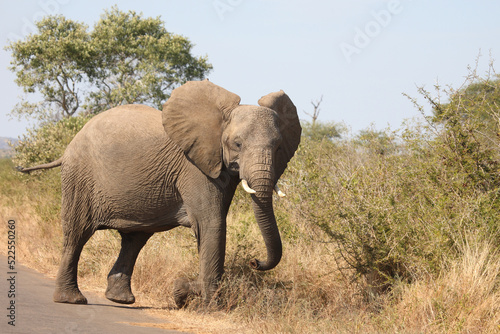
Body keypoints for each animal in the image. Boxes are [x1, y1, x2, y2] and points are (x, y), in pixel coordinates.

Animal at [18, 79, 300, 306]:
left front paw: (185, 291)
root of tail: (68, 147)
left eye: (278, 147)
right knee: (77, 234)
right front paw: (208, 304)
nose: (255, 262)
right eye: (238, 144)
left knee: (134, 239)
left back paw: (121, 299)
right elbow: (212, 224)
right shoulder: (195, 167)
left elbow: (210, 225)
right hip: (79, 177)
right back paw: (72, 300)